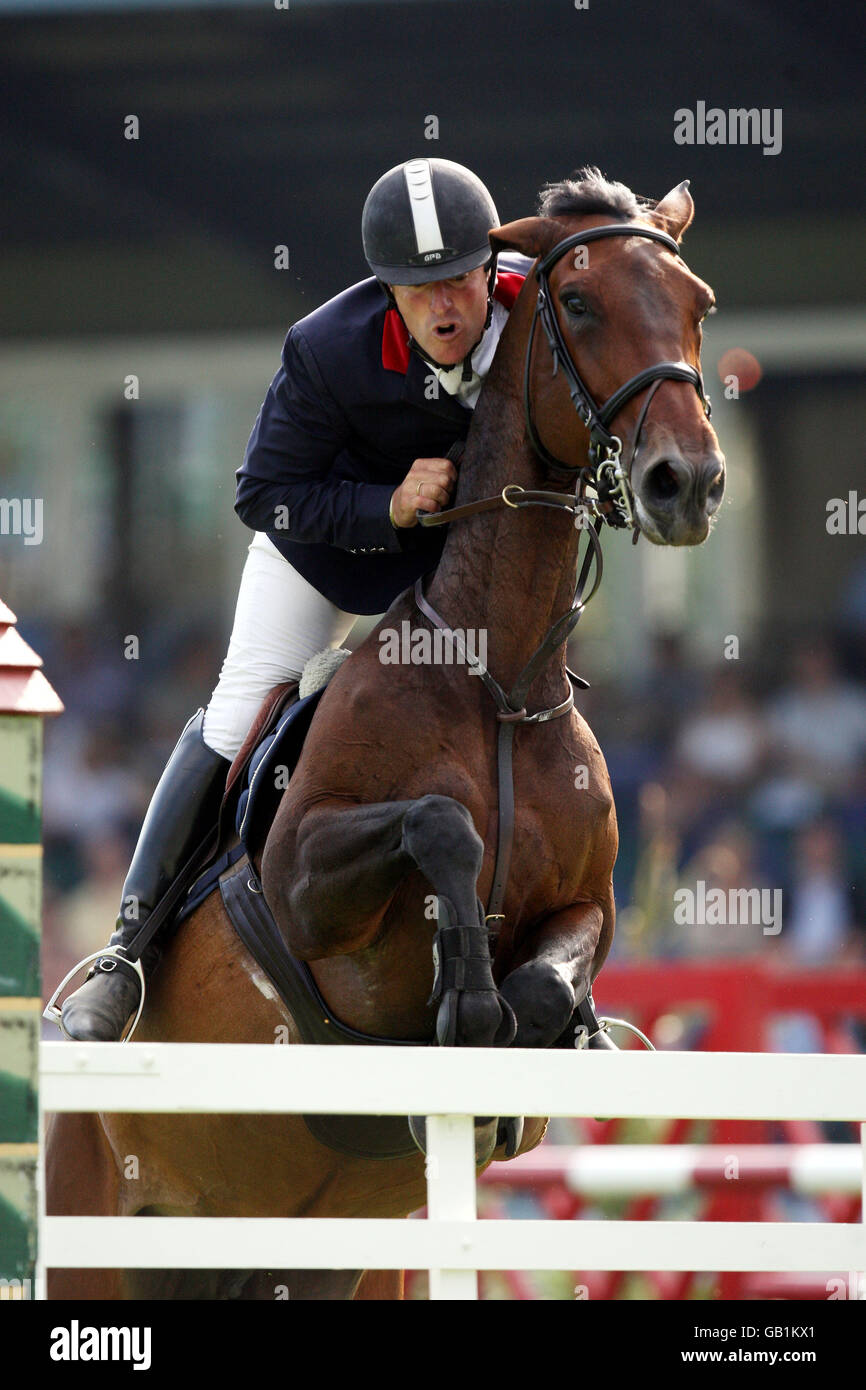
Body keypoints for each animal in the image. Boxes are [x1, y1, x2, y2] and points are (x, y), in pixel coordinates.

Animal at [46, 171, 725, 1300]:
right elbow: (442, 821)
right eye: (578, 304)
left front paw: (504, 1044)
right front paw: (463, 997)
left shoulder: (591, 902)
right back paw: (105, 997)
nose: (690, 484)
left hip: (328, 1261)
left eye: (697, 304)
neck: (498, 680)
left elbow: (549, 974)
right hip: (96, 1240)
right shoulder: (303, 884)